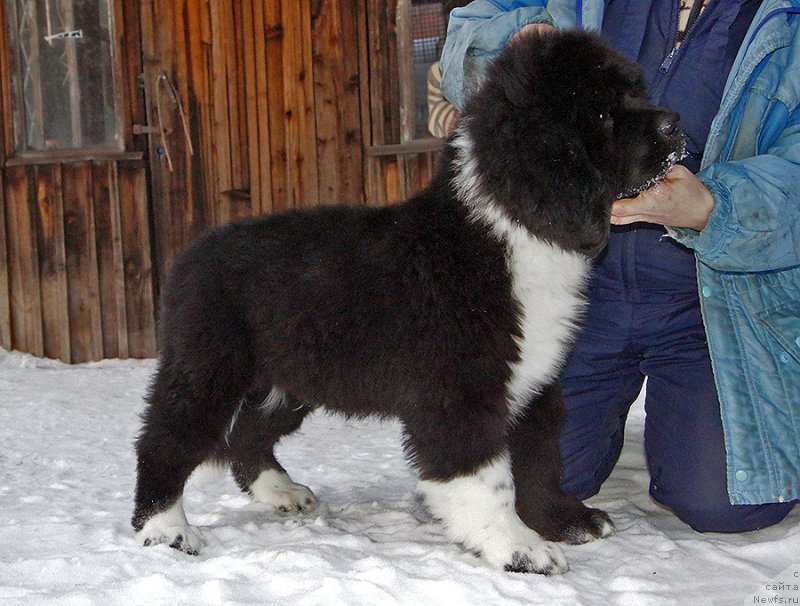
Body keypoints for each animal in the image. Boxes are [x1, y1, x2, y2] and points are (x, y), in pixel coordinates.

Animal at [134, 32, 684, 576]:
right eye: (602, 114)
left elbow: (540, 458)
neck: (510, 230)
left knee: (246, 436)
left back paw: (281, 491)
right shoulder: (460, 387)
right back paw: (165, 529)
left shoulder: (533, 380)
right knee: (165, 438)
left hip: (287, 381)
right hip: (210, 366)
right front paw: (517, 548)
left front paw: (562, 521)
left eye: (635, 92)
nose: (675, 123)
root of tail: (191, 254)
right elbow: (485, 476)